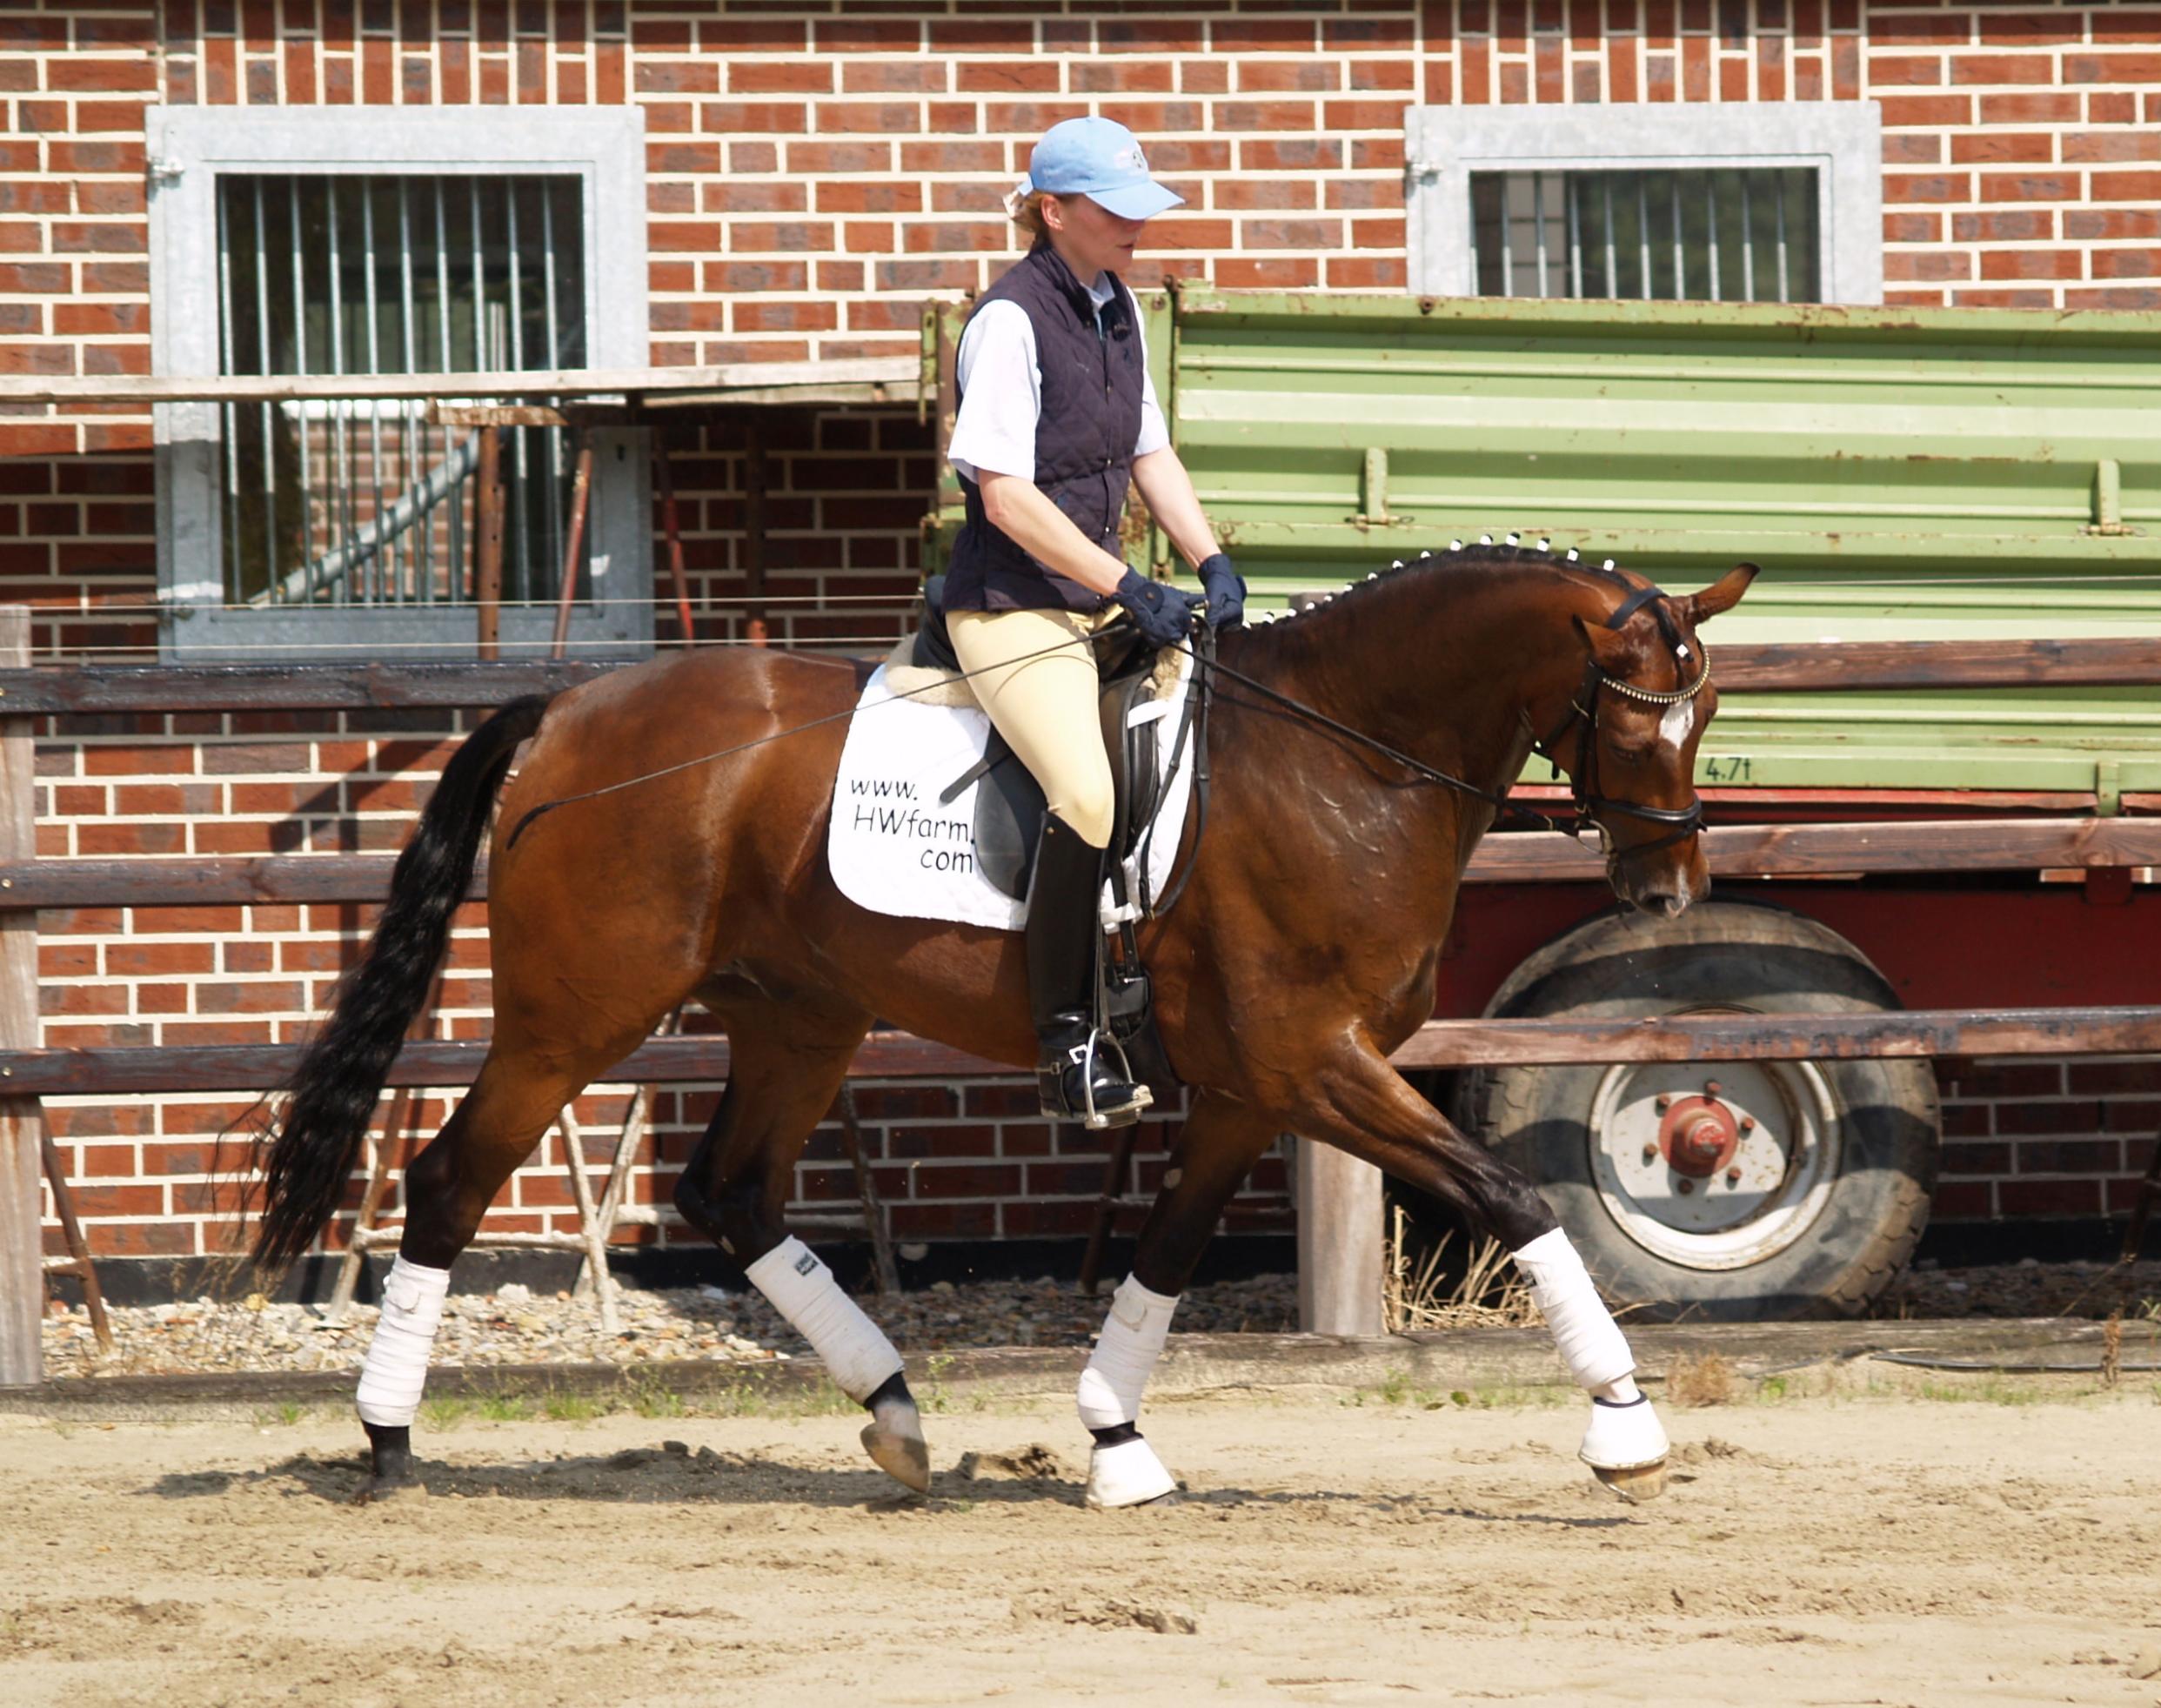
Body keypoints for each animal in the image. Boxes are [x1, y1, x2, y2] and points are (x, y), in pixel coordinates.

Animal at [250, 540, 1757, 1506]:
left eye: (1708, 712)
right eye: (1641, 721)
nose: (1669, 888)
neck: (1345, 756)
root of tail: (571, 707)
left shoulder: (1252, 1087)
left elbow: (1166, 1250)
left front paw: (1119, 1442)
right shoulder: (1311, 1064)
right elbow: (1513, 1193)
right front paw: (1624, 1426)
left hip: (801, 1017)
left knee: (731, 1189)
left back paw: (897, 1415)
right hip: (575, 1019)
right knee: (452, 1178)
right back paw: (388, 1441)